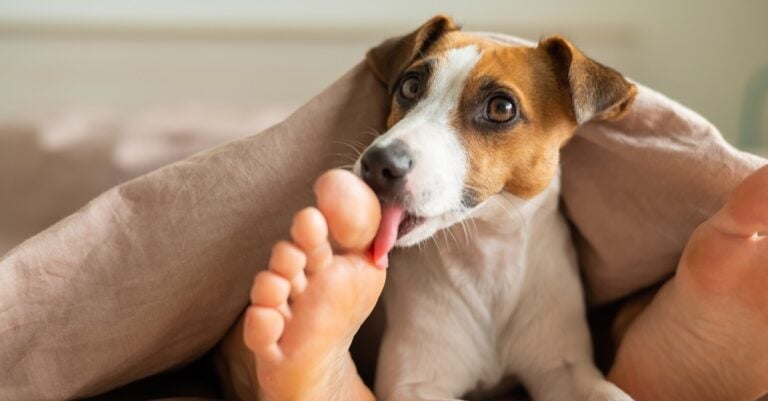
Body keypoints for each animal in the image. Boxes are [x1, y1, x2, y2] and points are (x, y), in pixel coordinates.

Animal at [354, 15, 636, 400]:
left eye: (501, 108)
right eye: (410, 86)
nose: (378, 163)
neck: (486, 254)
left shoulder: (564, 369)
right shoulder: (414, 383)